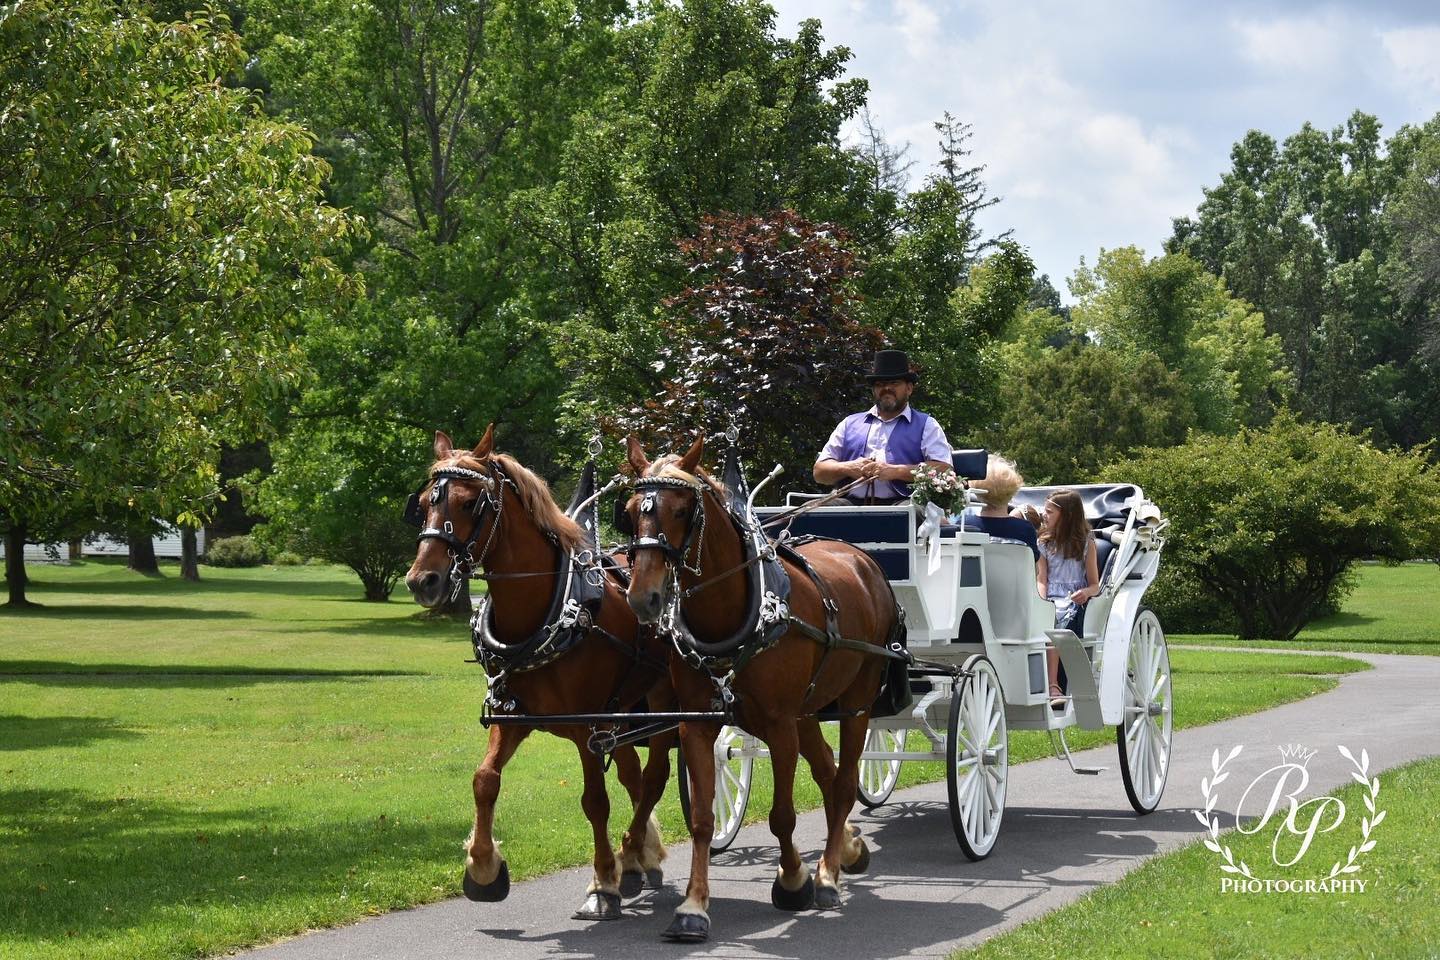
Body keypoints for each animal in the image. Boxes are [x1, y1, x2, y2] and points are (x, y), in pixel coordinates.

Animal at [405, 426, 675, 921]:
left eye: (470, 503)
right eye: (424, 501)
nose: (421, 581)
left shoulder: (587, 725)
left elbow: (595, 802)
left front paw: (602, 883)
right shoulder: (513, 716)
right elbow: (484, 780)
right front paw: (483, 867)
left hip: (664, 705)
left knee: (654, 777)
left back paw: (631, 856)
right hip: (623, 709)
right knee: (633, 774)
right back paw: (639, 859)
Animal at [622, 435, 903, 942]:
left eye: (682, 510)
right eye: (632, 510)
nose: (643, 598)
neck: (733, 613)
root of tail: (863, 558)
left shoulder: (778, 723)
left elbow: (782, 815)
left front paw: (793, 880)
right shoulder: (697, 724)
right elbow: (701, 818)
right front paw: (693, 905)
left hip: (857, 702)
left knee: (845, 780)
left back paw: (828, 874)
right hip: (809, 709)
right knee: (828, 772)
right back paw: (847, 849)